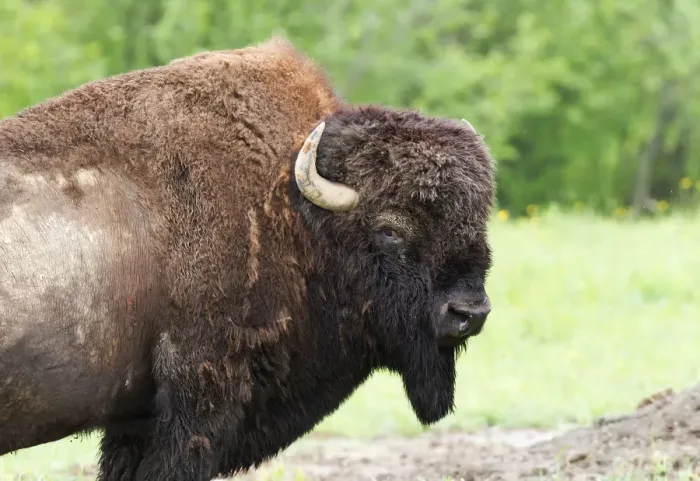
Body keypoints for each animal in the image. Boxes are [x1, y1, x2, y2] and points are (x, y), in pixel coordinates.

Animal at [0, 37, 495, 480]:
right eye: (390, 230)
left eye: (478, 224)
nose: (469, 313)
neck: (290, 208)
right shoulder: (197, 401)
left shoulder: (135, 422)